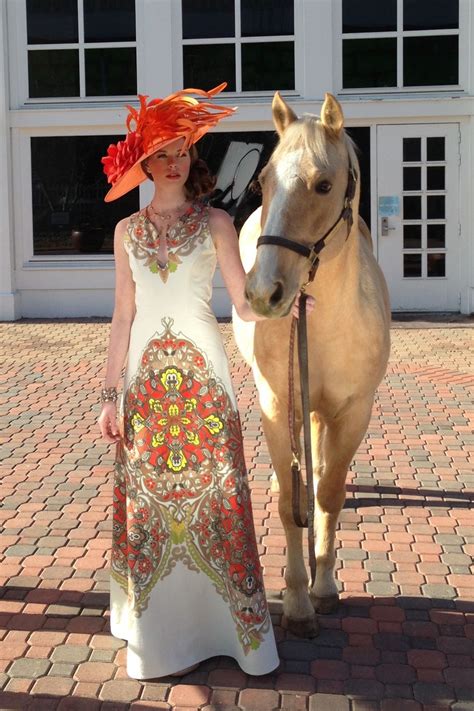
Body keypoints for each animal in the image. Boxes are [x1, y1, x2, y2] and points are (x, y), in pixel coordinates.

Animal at [231, 92, 390, 636]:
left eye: (323, 184)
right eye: (263, 182)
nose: (264, 292)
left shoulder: (353, 410)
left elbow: (329, 495)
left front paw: (324, 586)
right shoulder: (279, 406)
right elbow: (288, 501)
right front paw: (298, 601)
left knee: (320, 474)